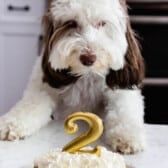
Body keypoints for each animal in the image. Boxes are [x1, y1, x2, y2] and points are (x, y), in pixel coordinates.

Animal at [0, 0, 146, 154]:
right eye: (71, 23)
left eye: (102, 23)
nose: (88, 58)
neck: (86, 74)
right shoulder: (43, 87)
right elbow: (29, 105)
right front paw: (10, 124)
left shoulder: (120, 90)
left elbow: (125, 111)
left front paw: (128, 136)